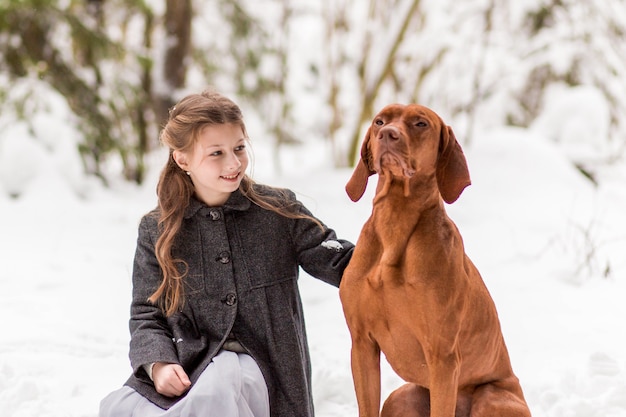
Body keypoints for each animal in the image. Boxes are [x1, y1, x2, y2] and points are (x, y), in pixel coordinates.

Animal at [338, 102, 528, 414]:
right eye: (380, 121)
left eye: (420, 124)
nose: (388, 134)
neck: (395, 218)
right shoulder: (362, 344)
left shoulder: (443, 357)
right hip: (403, 395)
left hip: (491, 396)